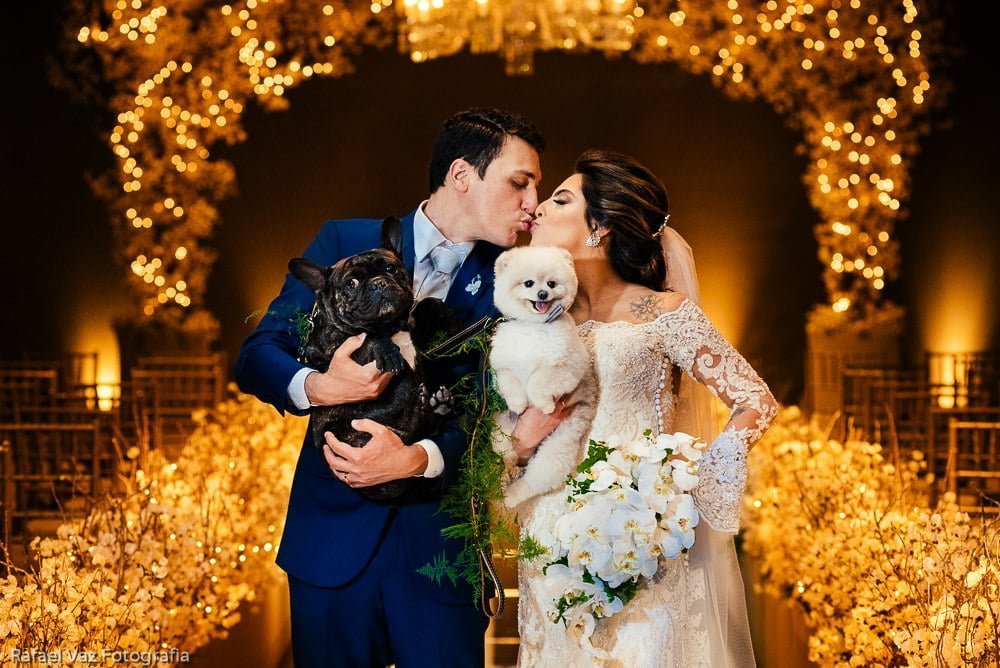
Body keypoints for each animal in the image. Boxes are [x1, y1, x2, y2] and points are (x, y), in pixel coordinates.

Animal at [289, 216, 444, 501]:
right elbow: (367, 336)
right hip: (345, 427)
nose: (378, 283)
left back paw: (440, 404)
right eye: (351, 283)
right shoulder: (331, 345)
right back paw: (417, 397)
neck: (390, 325)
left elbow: (427, 304)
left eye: (390, 268)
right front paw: (388, 352)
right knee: (399, 414)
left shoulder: (413, 327)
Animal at [489, 246, 596, 509]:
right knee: (509, 456)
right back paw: (508, 472)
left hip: (555, 451)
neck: (534, 328)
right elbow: (511, 383)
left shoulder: (568, 367)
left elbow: (539, 380)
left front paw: (544, 405)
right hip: (501, 431)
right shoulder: (501, 365)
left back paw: (511, 496)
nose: (543, 293)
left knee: (532, 483)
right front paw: (519, 404)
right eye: (528, 283)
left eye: (551, 283)